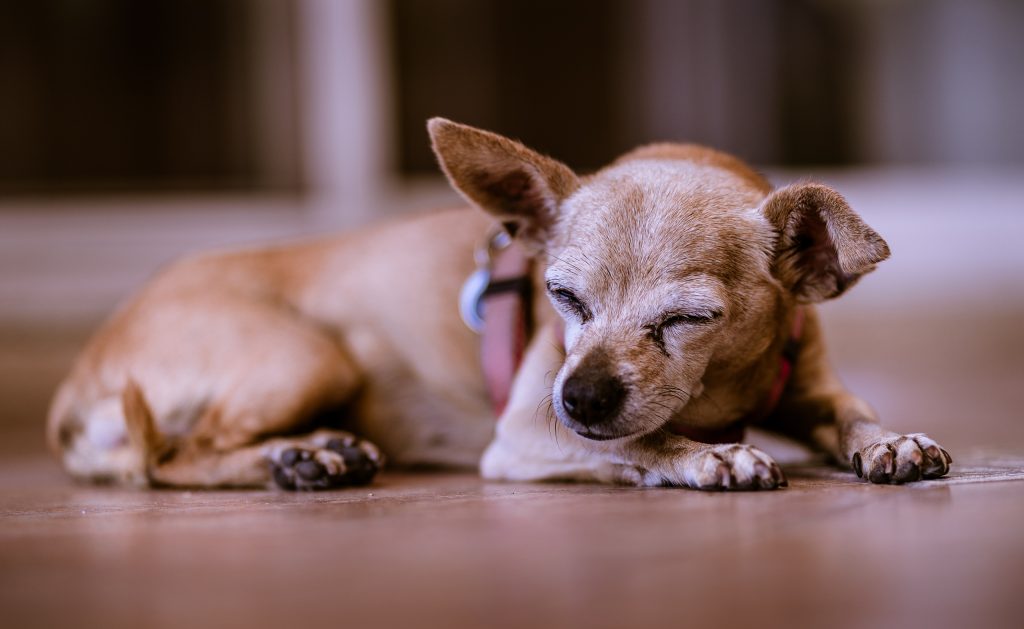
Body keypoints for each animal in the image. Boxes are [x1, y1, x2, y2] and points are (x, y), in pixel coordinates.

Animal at [46, 118, 950, 493]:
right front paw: (707, 456)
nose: (578, 395)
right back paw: (296, 457)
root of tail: (77, 380)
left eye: (690, 319)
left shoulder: (812, 385)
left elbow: (852, 413)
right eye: (563, 298)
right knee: (170, 457)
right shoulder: (525, 430)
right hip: (308, 356)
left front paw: (889, 440)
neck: (721, 394)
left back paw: (311, 453)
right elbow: (642, 441)